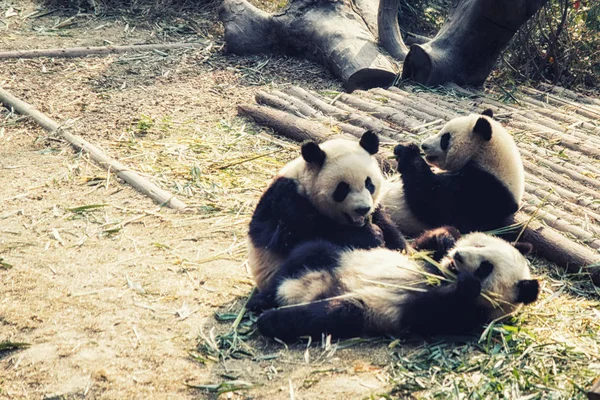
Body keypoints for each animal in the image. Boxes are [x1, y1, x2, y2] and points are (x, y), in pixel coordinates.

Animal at [247, 131, 408, 290]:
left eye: (369, 184)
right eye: (342, 189)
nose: (362, 209)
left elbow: (385, 223)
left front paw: (397, 247)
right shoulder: (286, 201)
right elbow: (297, 235)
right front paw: (371, 235)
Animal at [248, 227, 540, 342]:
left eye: (486, 267)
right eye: (479, 245)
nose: (458, 257)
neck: (442, 276)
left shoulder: (471, 316)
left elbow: (432, 313)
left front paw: (467, 285)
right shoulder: (420, 258)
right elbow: (414, 246)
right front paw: (447, 239)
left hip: (366, 308)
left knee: (330, 315)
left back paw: (271, 319)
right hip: (342, 257)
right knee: (311, 252)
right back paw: (261, 299)